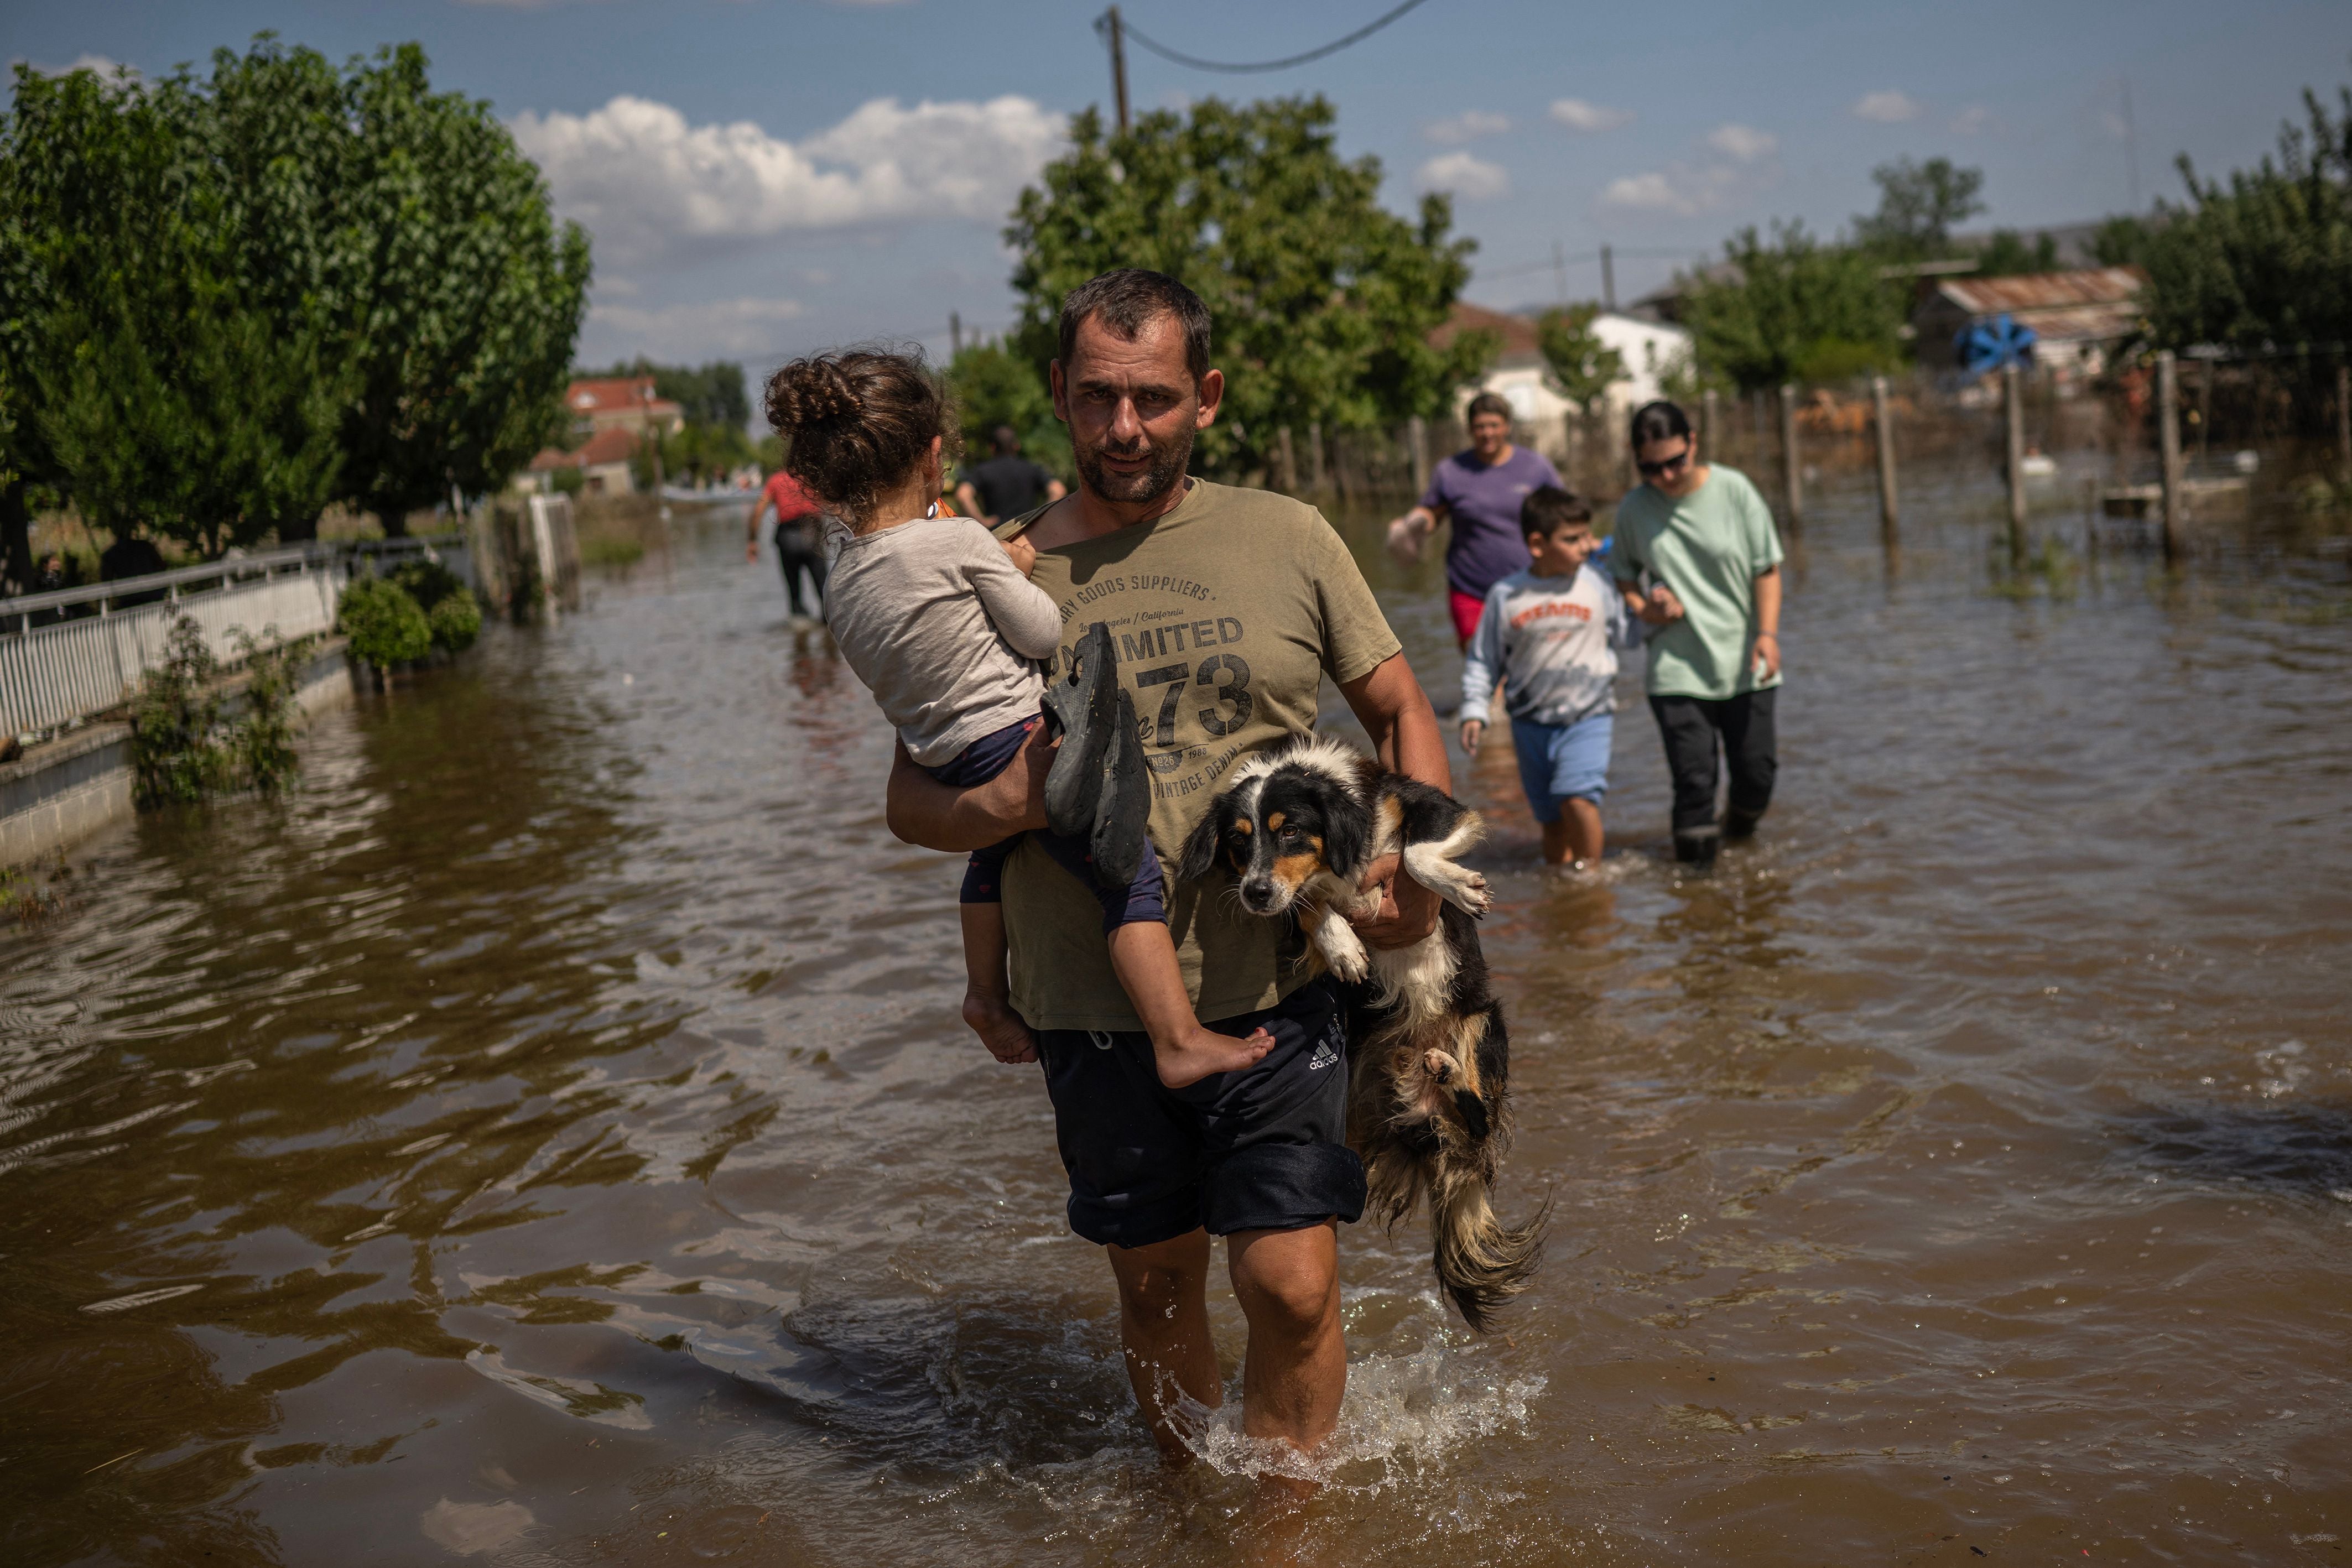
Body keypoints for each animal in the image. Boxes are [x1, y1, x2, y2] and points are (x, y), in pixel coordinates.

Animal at [1195, 738, 1543, 1326]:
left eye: (1291, 830)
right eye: (1239, 842)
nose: (1255, 893)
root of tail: (1424, 1123)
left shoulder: (1431, 807)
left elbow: (1414, 854)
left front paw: (1459, 887)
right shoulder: (1292, 900)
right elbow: (1309, 905)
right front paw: (1341, 944)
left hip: (1485, 1022)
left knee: (1480, 1116)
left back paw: (1449, 1070)